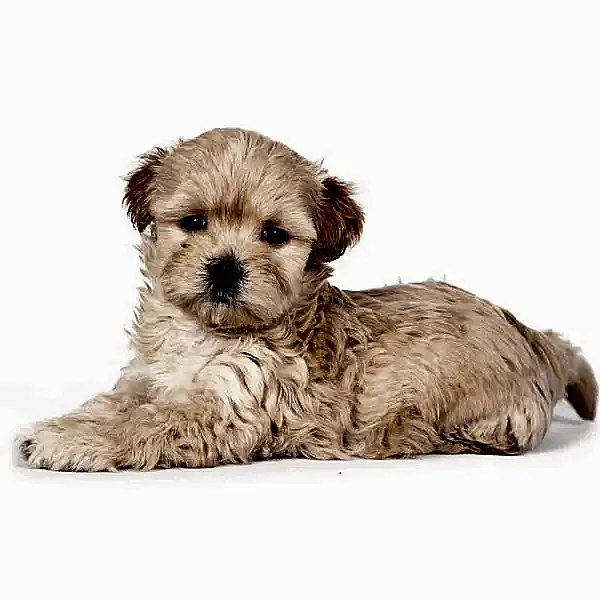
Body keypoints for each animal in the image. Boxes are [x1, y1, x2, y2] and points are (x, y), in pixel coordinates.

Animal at [17, 127, 597, 471]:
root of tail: (534, 338)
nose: (224, 267)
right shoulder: (145, 379)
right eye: (194, 223)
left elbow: (145, 423)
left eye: (274, 235)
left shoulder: (231, 409)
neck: (205, 333)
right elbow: (115, 404)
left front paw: (69, 442)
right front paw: (68, 422)